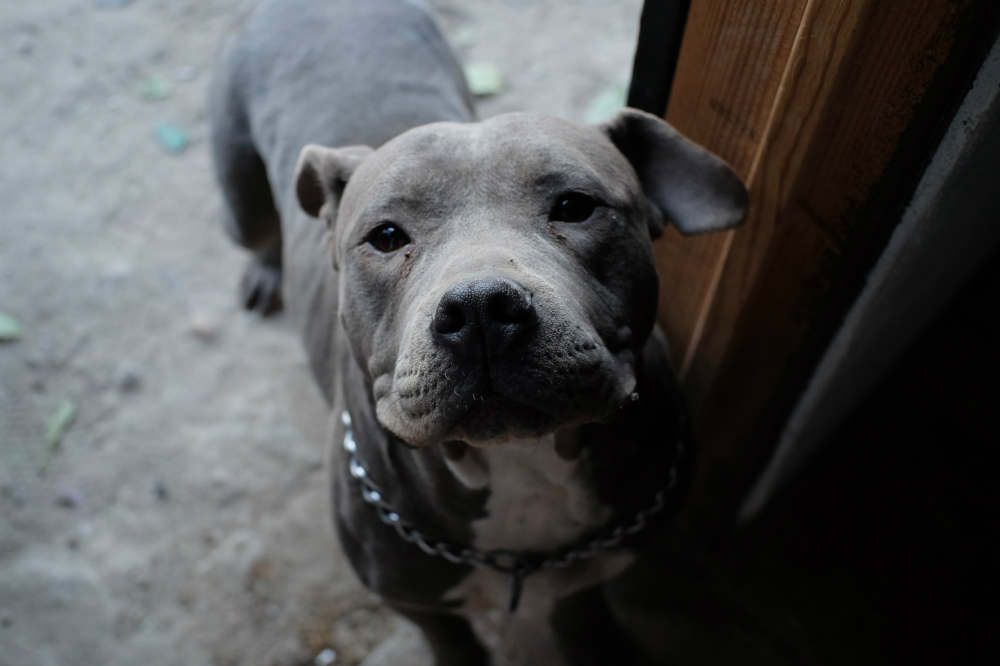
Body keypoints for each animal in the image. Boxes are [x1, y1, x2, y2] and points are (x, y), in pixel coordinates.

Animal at [209, 1, 744, 664]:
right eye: (386, 236)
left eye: (575, 206)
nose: (482, 309)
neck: (521, 465)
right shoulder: (416, 603)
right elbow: (453, 641)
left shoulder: (596, 570)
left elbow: (584, 616)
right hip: (240, 194)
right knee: (257, 230)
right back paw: (264, 270)